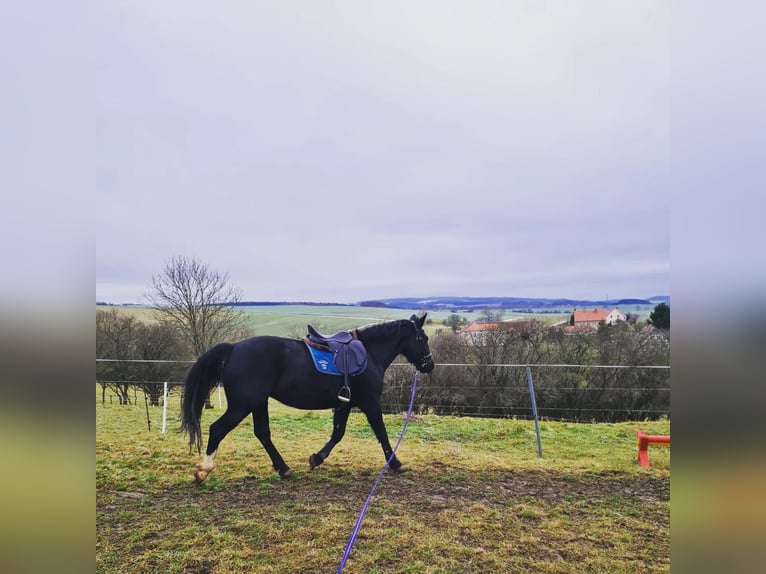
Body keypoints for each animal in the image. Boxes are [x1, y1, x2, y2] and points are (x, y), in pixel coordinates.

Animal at [179, 312, 432, 484]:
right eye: (424, 338)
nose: (429, 364)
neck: (369, 353)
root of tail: (233, 349)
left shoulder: (345, 404)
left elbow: (337, 434)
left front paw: (316, 458)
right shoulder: (369, 403)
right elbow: (381, 433)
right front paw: (396, 464)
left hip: (258, 402)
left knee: (262, 433)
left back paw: (283, 468)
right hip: (243, 404)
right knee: (217, 429)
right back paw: (203, 470)